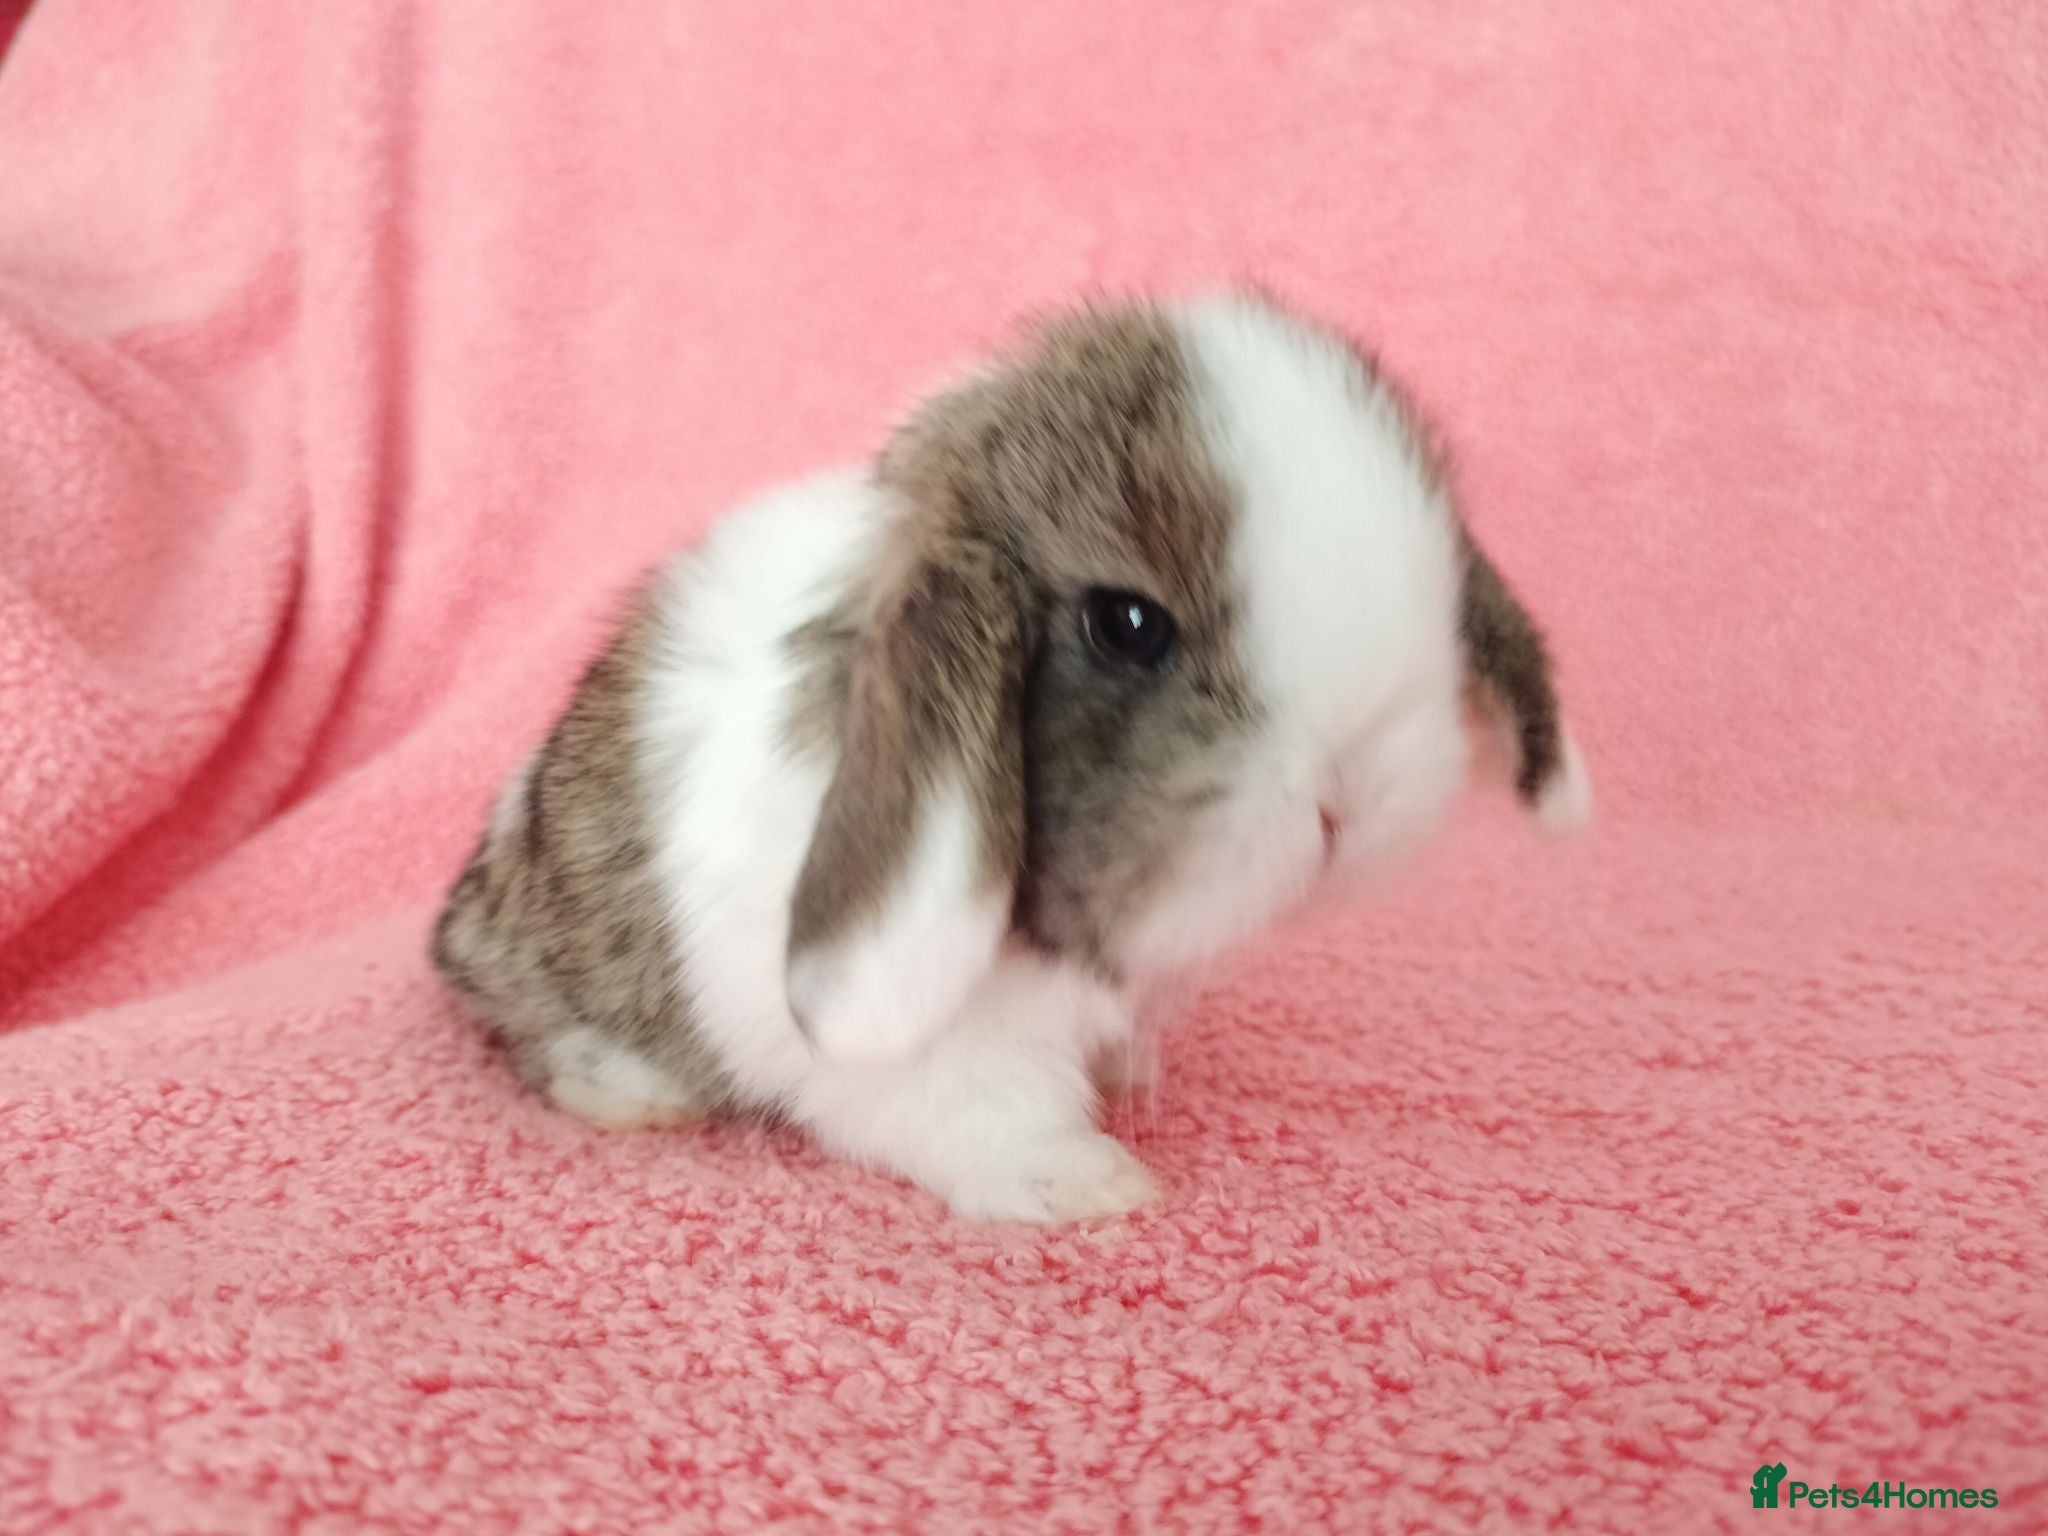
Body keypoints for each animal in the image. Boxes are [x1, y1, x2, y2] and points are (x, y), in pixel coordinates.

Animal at [430, 288, 1592, 1224]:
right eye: (1127, 625)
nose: (1354, 791)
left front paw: (1125, 1074)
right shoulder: (925, 1051)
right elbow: (982, 1113)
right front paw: (1085, 1184)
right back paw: (630, 1090)